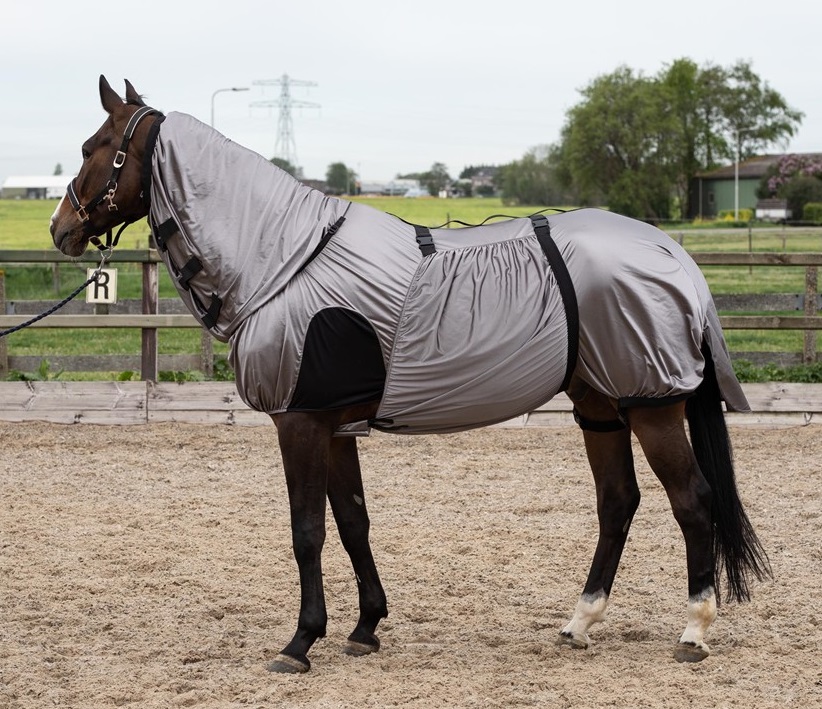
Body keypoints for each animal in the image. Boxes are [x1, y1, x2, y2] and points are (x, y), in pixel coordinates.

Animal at [50, 76, 771, 673]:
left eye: (94, 146)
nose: (60, 229)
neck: (285, 260)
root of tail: (670, 251)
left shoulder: (299, 421)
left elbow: (307, 530)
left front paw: (300, 641)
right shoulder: (336, 426)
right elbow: (352, 522)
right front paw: (364, 626)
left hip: (651, 404)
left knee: (692, 501)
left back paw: (693, 630)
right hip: (600, 404)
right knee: (618, 501)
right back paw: (580, 621)